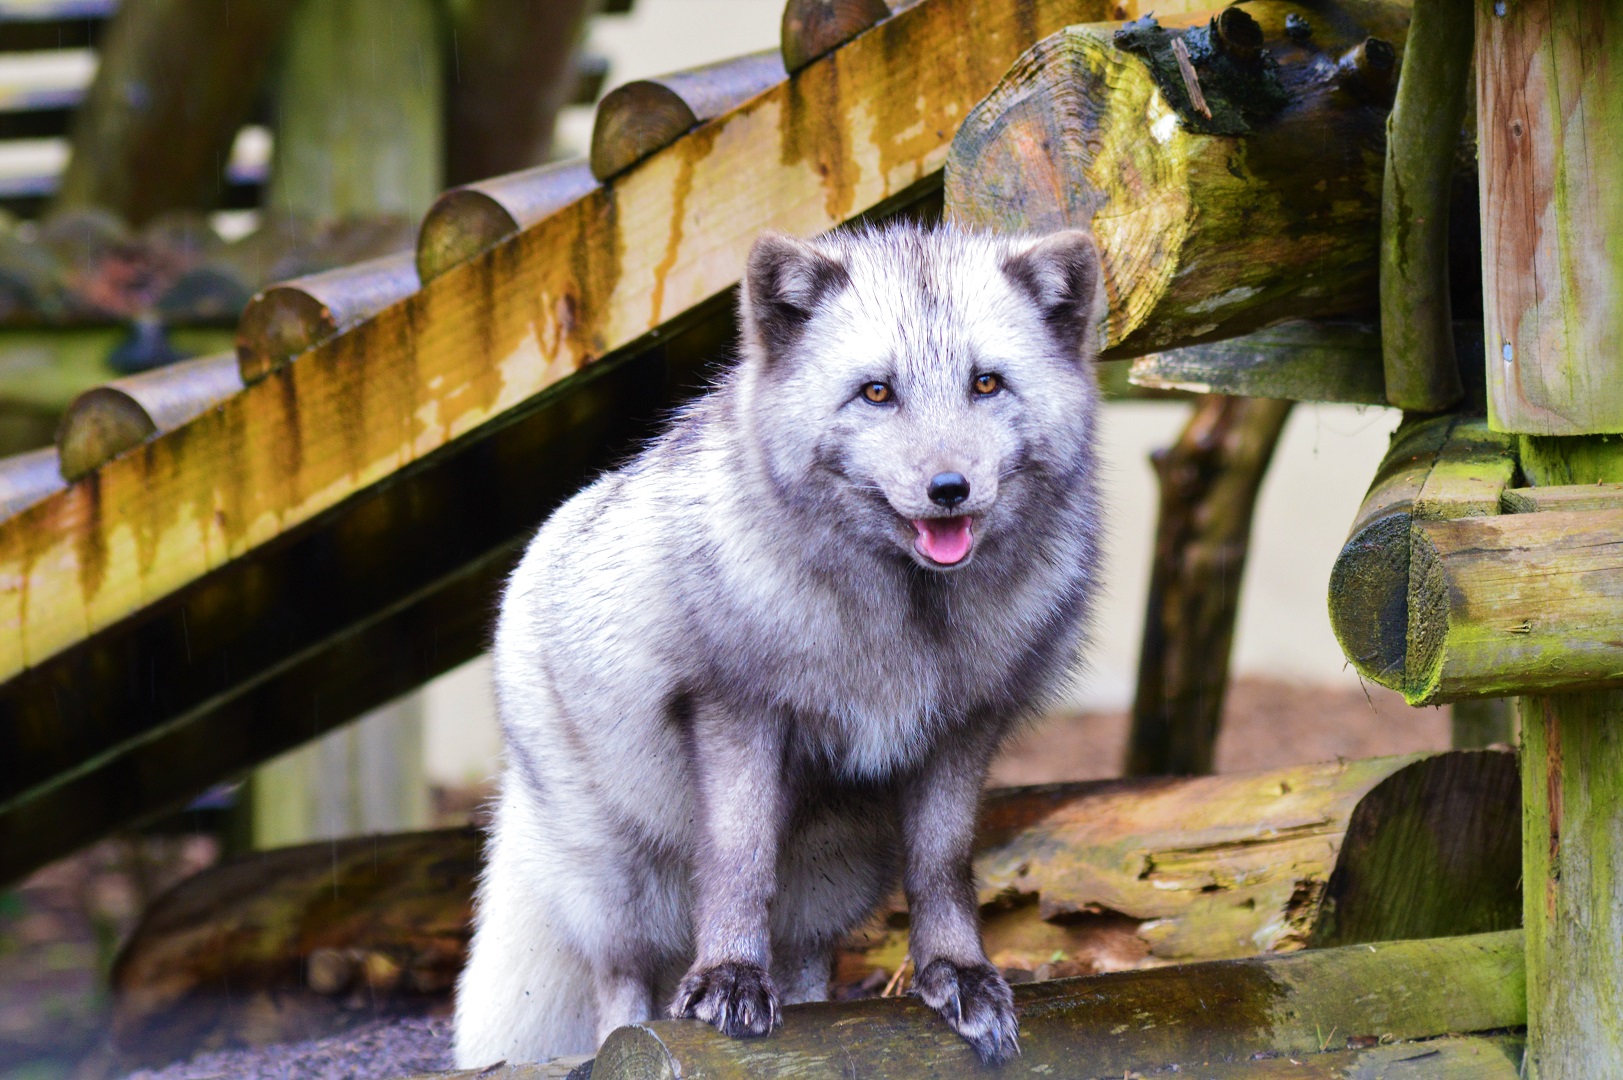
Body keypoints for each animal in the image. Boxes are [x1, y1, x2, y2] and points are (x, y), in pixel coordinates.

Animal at [453, 222, 1107, 1068]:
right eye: (876, 392)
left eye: (987, 384)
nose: (949, 490)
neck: (905, 626)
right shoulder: (735, 711)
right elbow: (738, 861)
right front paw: (728, 978)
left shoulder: (963, 727)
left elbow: (942, 864)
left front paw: (957, 973)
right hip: (620, 877)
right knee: (622, 983)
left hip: (834, 871)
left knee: (805, 962)